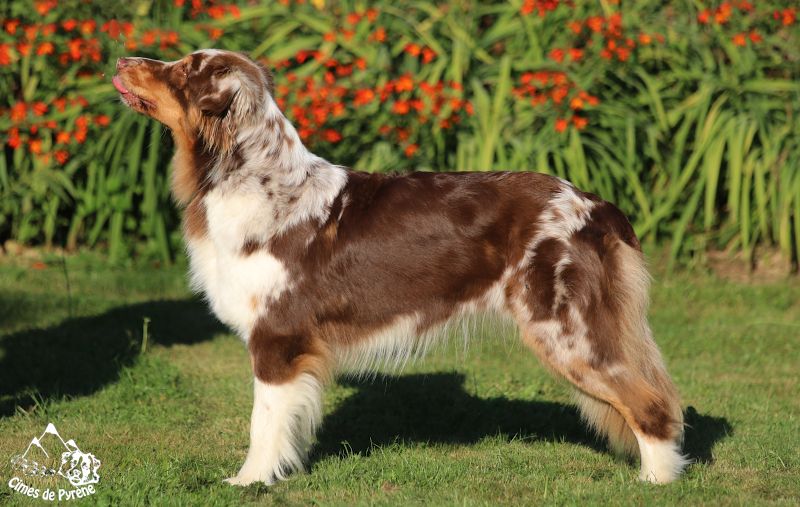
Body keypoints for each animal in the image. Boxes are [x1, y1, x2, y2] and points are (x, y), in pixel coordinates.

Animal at [112, 49, 687, 486]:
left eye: (184, 69)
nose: (120, 60)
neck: (247, 174)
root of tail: (595, 204)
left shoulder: (278, 336)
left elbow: (263, 422)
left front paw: (250, 481)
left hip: (566, 329)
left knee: (651, 402)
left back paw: (656, 480)